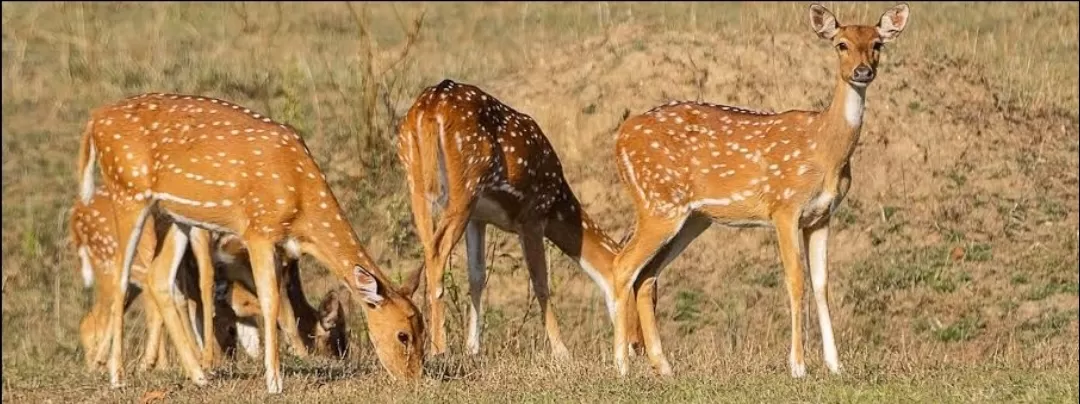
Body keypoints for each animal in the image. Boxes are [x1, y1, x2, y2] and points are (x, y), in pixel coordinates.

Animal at [67, 190, 352, 375]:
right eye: (336, 338)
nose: (342, 359)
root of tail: (76, 216)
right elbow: (284, 314)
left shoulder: (235, 267)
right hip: (117, 265)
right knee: (97, 319)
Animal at [397, 79, 643, 360]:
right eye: (639, 292)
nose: (638, 345)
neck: (557, 203)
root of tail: (429, 107)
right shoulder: (533, 215)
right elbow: (540, 281)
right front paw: (562, 352)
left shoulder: (479, 218)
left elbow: (477, 276)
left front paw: (473, 348)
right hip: (465, 183)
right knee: (437, 252)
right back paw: (440, 348)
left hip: (415, 178)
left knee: (428, 248)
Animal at [609, 3, 911, 378]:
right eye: (840, 44)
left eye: (877, 44)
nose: (862, 71)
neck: (824, 149)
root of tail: (619, 138)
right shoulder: (784, 207)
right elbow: (796, 280)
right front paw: (798, 366)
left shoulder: (821, 216)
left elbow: (822, 283)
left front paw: (835, 365)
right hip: (659, 204)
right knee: (622, 265)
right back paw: (621, 366)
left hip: (690, 218)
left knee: (647, 276)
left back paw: (664, 367)